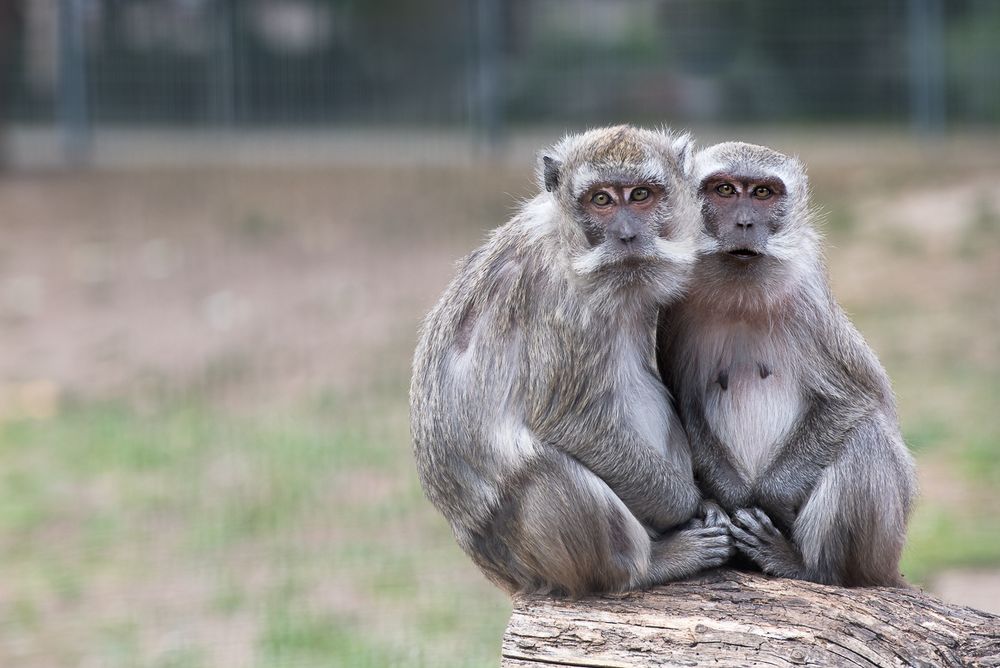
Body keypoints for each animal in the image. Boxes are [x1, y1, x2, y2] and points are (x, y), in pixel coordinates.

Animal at [408, 125, 736, 596]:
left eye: (640, 195)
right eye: (601, 200)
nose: (626, 235)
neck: (569, 244)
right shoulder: (563, 305)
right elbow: (570, 421)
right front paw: (691, 505)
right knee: (547, 467)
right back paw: (646, 566)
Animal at [652, 140, 916, 584]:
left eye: (762, 193)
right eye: (724, 190)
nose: (743, 223)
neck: (740, 297)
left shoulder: (808, 302)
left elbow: (853, 400)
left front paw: (767, 500)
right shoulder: (673, 307)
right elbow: (683, 401)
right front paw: (730, 499)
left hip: (883, 543)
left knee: (866, 437)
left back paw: (809, 566)